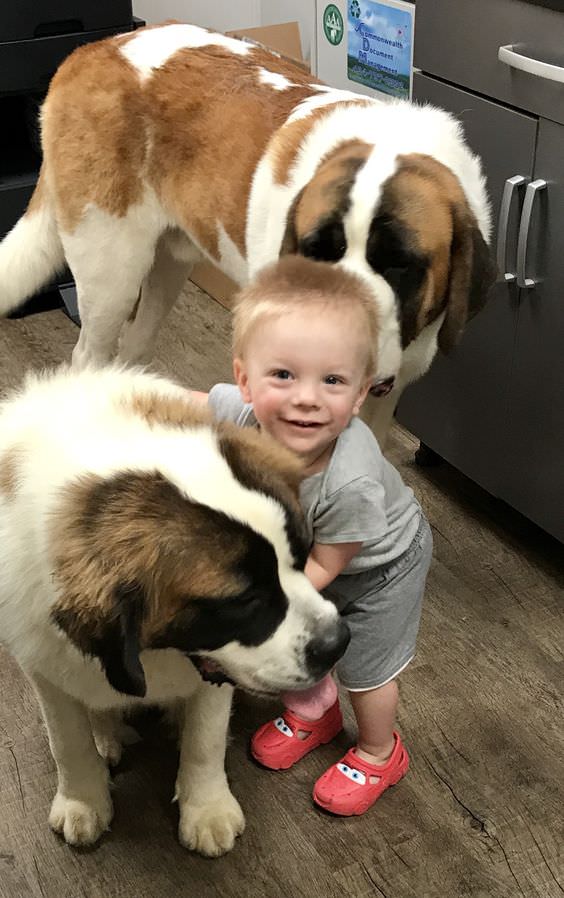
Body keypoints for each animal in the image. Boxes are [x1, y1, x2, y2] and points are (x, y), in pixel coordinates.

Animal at [0, 21, 496, 440]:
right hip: (111, 273)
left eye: (398, 264)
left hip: (168, 264)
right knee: (89, 354)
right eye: (317, 254)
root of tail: (93, 50)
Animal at [0, 364, 348, 856]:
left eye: (302, 555)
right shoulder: (44, 663)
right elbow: (67, 741)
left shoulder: (215, 676)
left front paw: (206, 809)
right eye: (244, 600)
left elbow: (205, 740)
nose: (338, 644)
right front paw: (82, 800)